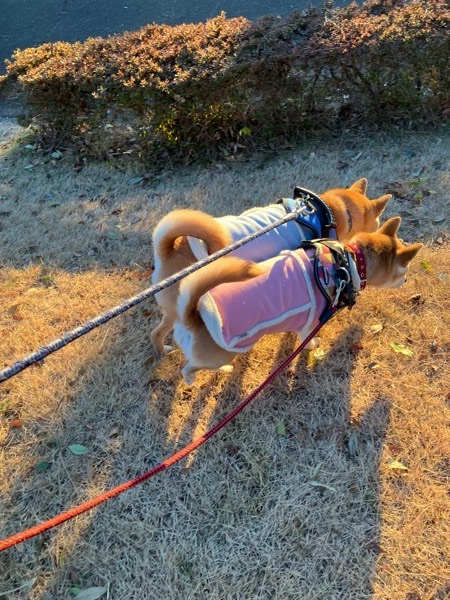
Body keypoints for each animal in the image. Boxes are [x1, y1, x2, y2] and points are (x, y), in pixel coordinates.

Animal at [151, 178, 391, 355]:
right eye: (378, 219)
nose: (379, 224)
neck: (329, 210)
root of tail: (168, 249)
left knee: (157, 332)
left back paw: (164, 350)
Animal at [171, 217, 422, 383]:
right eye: (404, 270)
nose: (407, 279)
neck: (348, 261)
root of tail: (192, 316)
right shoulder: (313, 322)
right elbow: (307, 340)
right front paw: (313, 345)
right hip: (222, 352)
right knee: (189, 368)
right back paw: (211, 373)